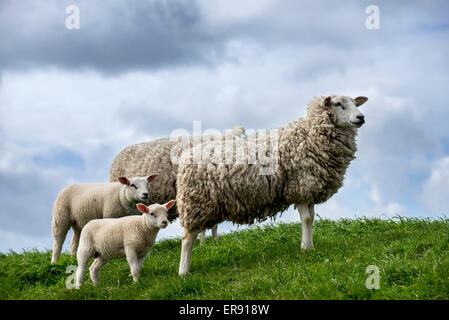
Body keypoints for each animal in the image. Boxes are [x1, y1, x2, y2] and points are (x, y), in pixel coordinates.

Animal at [175, 94, 368, 276]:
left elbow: (311, 218)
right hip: (196, 203)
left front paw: (311, 245)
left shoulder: (309, 188)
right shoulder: (298, 186)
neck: (309, 134)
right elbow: (306, 219)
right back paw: (183, 272)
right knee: (187, 238)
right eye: (338, 104)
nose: (361, 117)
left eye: (355, 103)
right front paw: (306, 247)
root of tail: (185, 157)